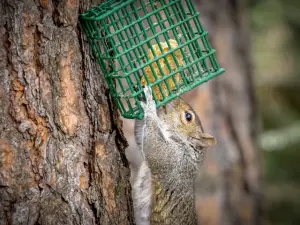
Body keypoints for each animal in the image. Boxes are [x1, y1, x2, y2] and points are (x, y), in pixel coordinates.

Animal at [132, 86, 214, 225]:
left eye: (188, 116)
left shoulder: (174, 160)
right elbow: (139, 137)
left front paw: (149, 106)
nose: (175, 97)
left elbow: (153, 147)